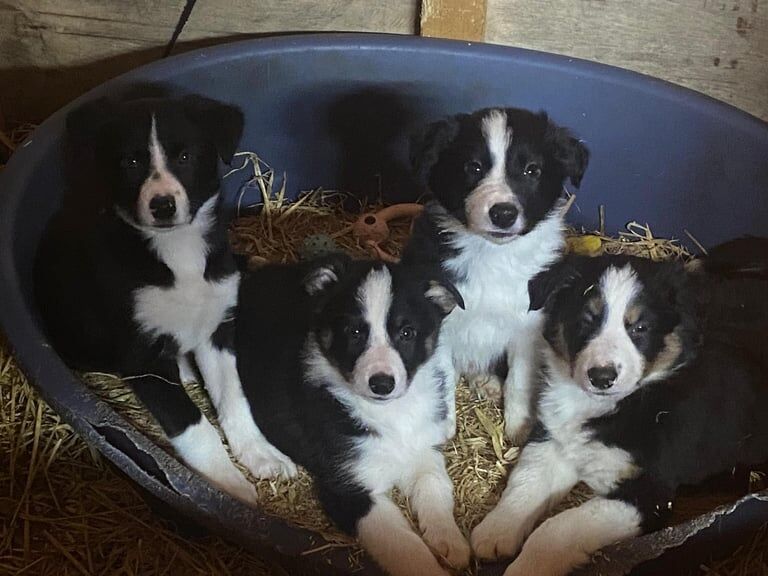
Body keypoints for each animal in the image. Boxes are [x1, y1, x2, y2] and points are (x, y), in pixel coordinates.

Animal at [34, 92, 296, 502]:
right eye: (131, 161)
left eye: (185, 156)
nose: (162, 205)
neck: (178, 251)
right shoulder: (141, 358)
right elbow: (195, 426)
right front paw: (226, 487)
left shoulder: (218, 330)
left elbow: (234, 397)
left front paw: (261, 454)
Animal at [234, 255, 472, 576]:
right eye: (355, 332)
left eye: (406, 333)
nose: (382, 384)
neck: (389, 414)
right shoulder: (345, 489)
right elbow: (404, 544)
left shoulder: (422, 452)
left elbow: (436, 488)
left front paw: (450, 541)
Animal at [402, 107, 588, 440]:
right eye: (473, 168)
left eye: (532, 170)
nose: (503, 213)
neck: (493, 254)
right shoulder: (440, 322)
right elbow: (442, 376)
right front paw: (443, 427)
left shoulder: (529, 325)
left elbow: (519, 378)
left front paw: (519, 427)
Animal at [468, 254, 768, 572]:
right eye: (586, 320)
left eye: (640, 328)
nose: (601, 377)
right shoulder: (556, 441)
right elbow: (526, 480)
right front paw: (496, 530)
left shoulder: (650, 494)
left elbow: (558, 527)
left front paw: (525, 567)